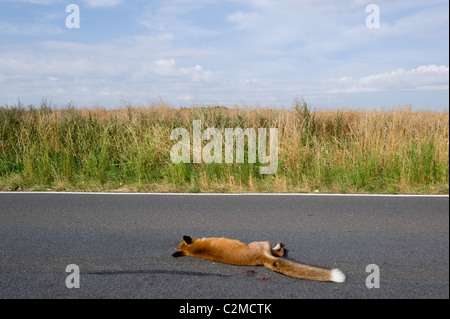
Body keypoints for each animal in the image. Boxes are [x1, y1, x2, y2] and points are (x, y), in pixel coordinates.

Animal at [172, 236, 344, 284]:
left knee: (278, 254)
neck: (196, 248)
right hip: (262, 243)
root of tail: (260, 258)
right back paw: (280, 246)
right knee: (278, 252)